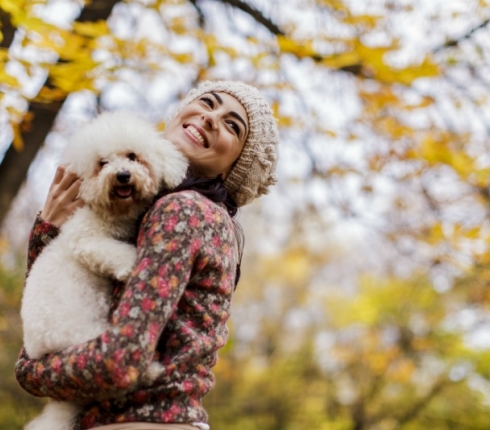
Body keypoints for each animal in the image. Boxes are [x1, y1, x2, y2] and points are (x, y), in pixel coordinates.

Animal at [20, 111, 188, 430]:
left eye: (132, 156)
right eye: (102, 163)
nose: (122, 175)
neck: (114, 213)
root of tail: (41, 349)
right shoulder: (85, 239)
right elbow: (116, 252)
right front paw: (131, 264)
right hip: (89, 338)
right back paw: (152, 369)